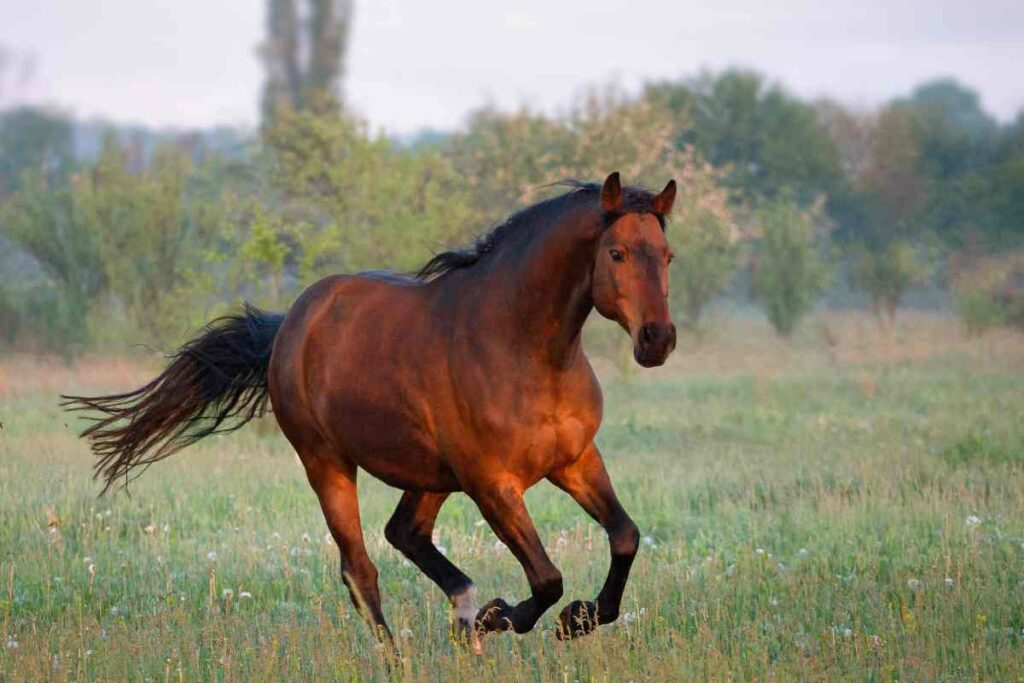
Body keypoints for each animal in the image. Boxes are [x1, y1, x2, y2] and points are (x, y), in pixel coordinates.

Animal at [62, 171, 678, 651]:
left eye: (668, 256)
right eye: (617, 253)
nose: (658, 340)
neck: (524, 348)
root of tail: (291, 322)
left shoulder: (574, 460)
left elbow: (625, 537)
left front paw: (576, 619)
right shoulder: (493, 485)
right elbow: (547, 579)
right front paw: (505, 617)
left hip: (433, 476)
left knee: (404, 533)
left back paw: (463, 614)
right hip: (328, 464)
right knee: (361, 570)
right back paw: (416, 648)